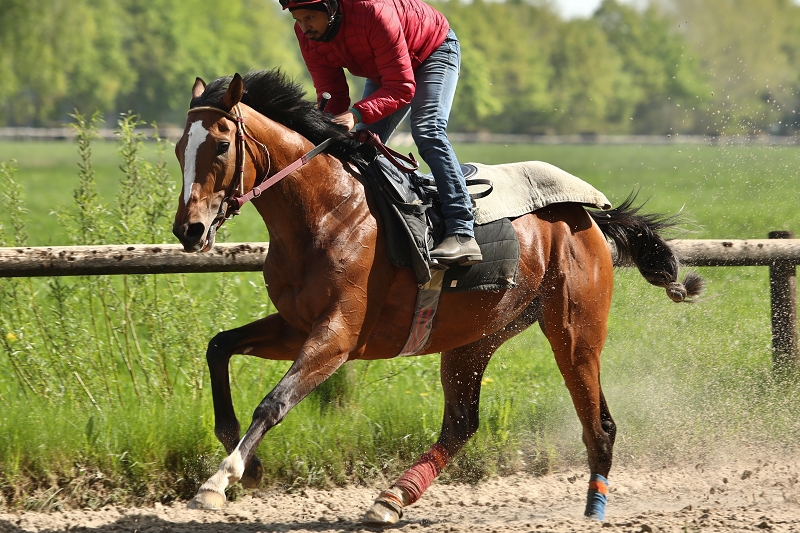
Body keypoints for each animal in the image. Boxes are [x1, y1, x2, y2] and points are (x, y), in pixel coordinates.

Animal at [172, 69, 703, 525]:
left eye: (221, 145)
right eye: (179, 148)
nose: (189, 230)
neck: (326, 212)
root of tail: (588, 217)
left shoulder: (338, 335)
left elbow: (274, 402)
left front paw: (220, 480)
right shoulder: (297, 325)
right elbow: (218, 346)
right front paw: (249, 463)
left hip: (575, 330)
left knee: (600, 423)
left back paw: (594, 509)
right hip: (476, 335)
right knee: (462, 422)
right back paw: (392, 498)